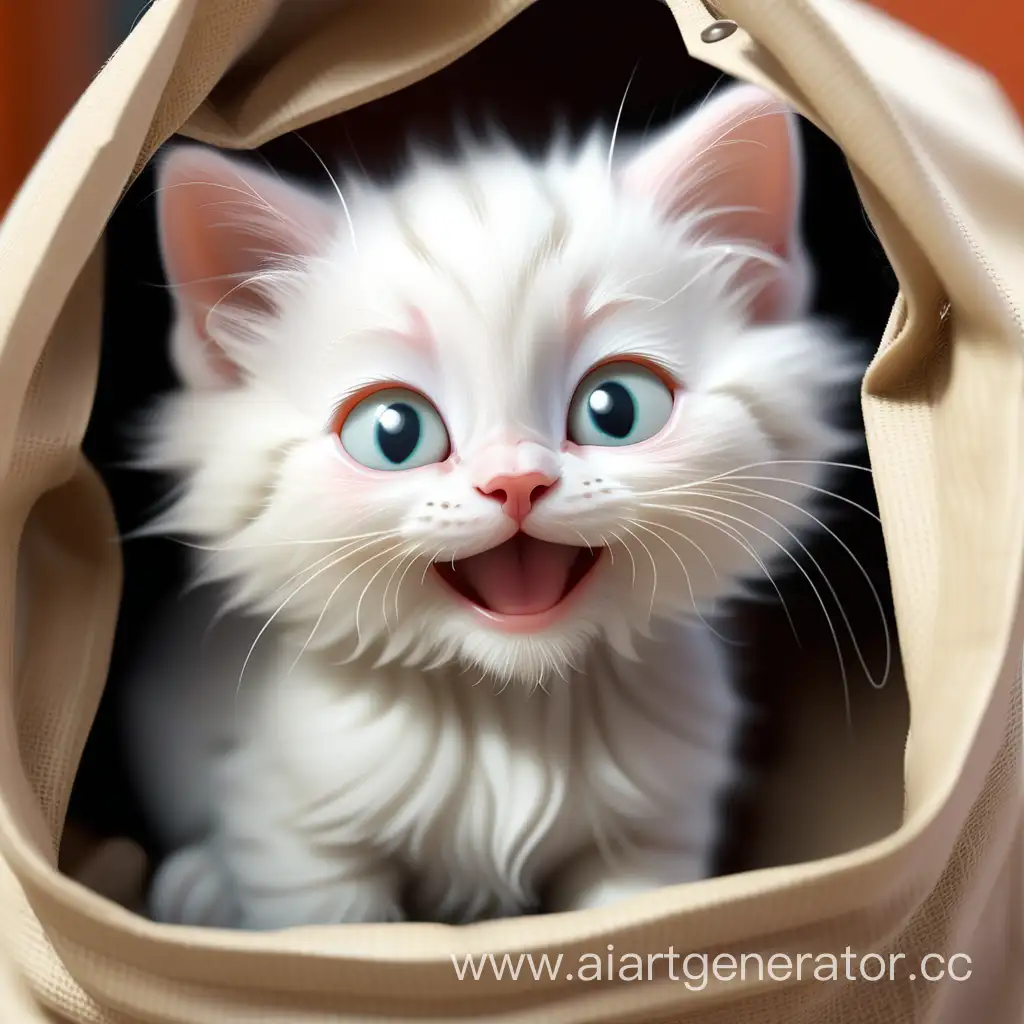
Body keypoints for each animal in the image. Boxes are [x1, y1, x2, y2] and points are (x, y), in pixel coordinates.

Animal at [119, 86, 856, 929]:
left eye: (616, 408)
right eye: (394, 432)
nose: (515, 482)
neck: (511, 713)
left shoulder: (654, 832)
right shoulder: (297, 839)